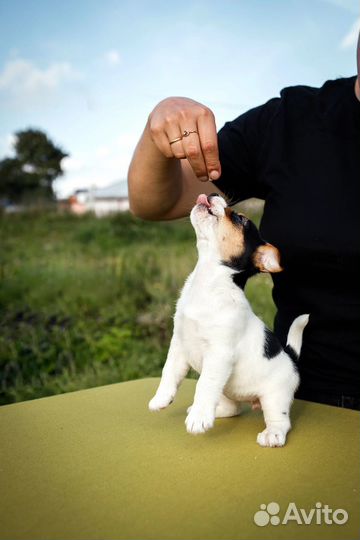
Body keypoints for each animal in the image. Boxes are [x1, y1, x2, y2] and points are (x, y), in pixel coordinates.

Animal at [149, 194, 310, 448]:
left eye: (239, 219)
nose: (212, 195)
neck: (207, 282)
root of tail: (291, 357)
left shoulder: (219, 354)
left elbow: (204, 384)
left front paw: (199, 420)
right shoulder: (179, 345)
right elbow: (169, 372)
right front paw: (161, 399)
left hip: (275, 397)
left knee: (281, 420)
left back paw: (272, 434)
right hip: (228, 390)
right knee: (232, 408)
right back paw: (211, 412)